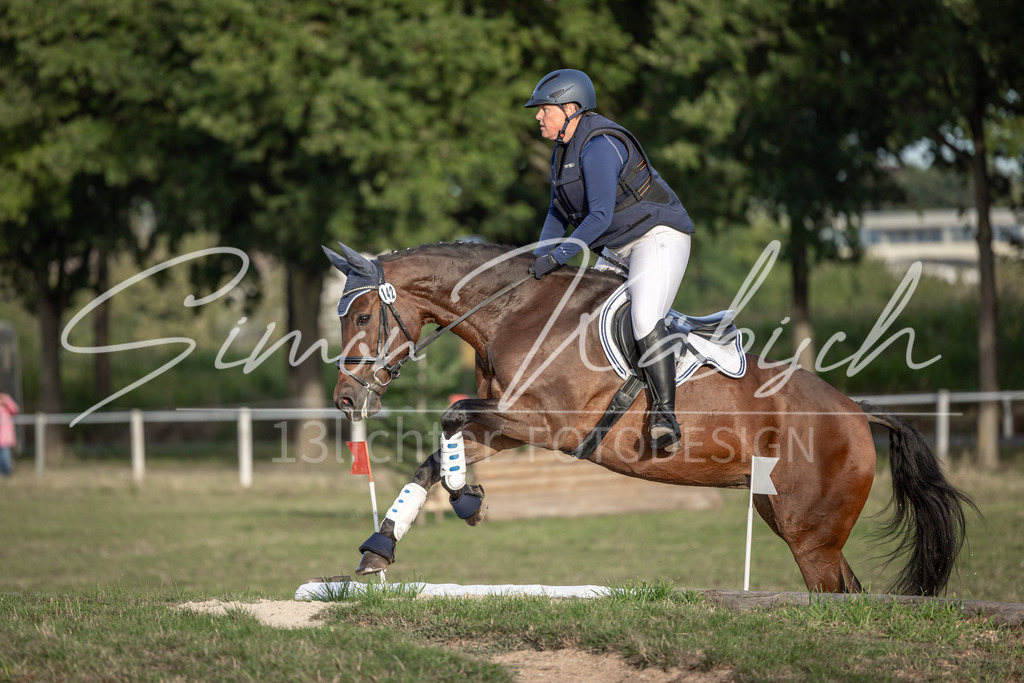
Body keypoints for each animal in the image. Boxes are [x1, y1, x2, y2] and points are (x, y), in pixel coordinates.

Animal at [323, 241, 974, 596]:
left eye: (361, 317)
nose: (347, 401)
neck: (514, 311)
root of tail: (856, 413)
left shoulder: (545, 421)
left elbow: (449, 417)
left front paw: (467, 499)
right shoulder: (508, 423)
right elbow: (440, 448)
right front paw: (382, 547)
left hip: (811, 534)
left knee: (834, 592)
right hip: (791, 518)